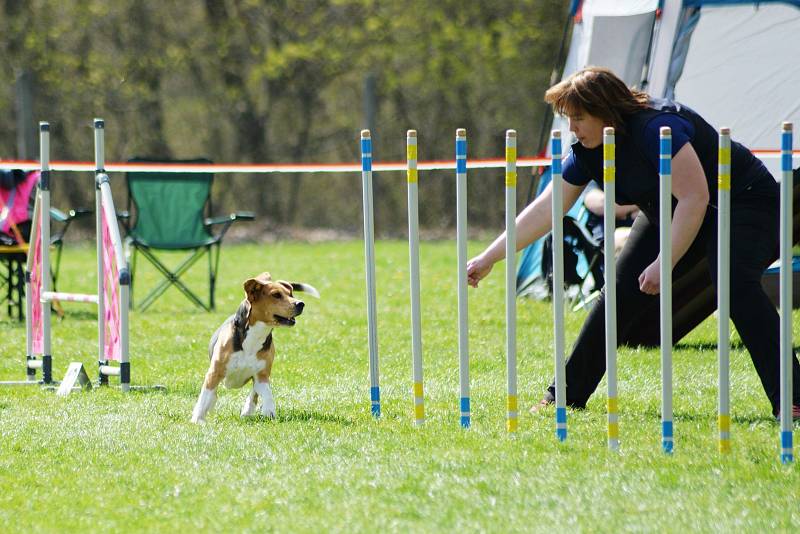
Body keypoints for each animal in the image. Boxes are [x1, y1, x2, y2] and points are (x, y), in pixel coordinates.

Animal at [191, 274, 318, 426]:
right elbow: (204, 396)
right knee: (212, 395)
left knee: (253, 394)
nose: (300, 304)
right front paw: (197, 419)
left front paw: (269, 413)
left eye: (290, 294)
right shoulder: (214, 373)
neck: (256, 335)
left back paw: (247, 411)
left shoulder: (261, 375)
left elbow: (267, 394)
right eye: (276, 295)